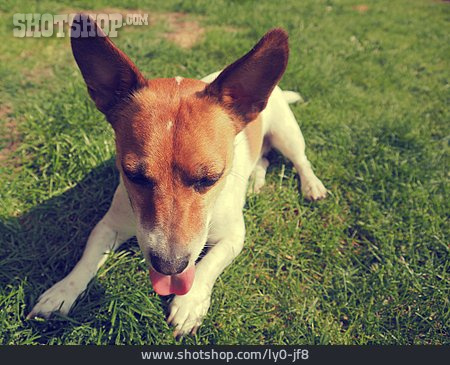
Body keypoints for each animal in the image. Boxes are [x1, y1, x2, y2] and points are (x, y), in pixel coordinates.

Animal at [26, 14, 326, 336]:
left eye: (210, 179)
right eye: (133, 175)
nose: (169, 267)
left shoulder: (233, 237)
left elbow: (208, 265)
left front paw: (190, 302)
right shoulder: (109, 226)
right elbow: (87, 257)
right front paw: (62, 292)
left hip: (287, 134)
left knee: (300, 160)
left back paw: (312, 185)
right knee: (265, 158)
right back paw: (256, 180)